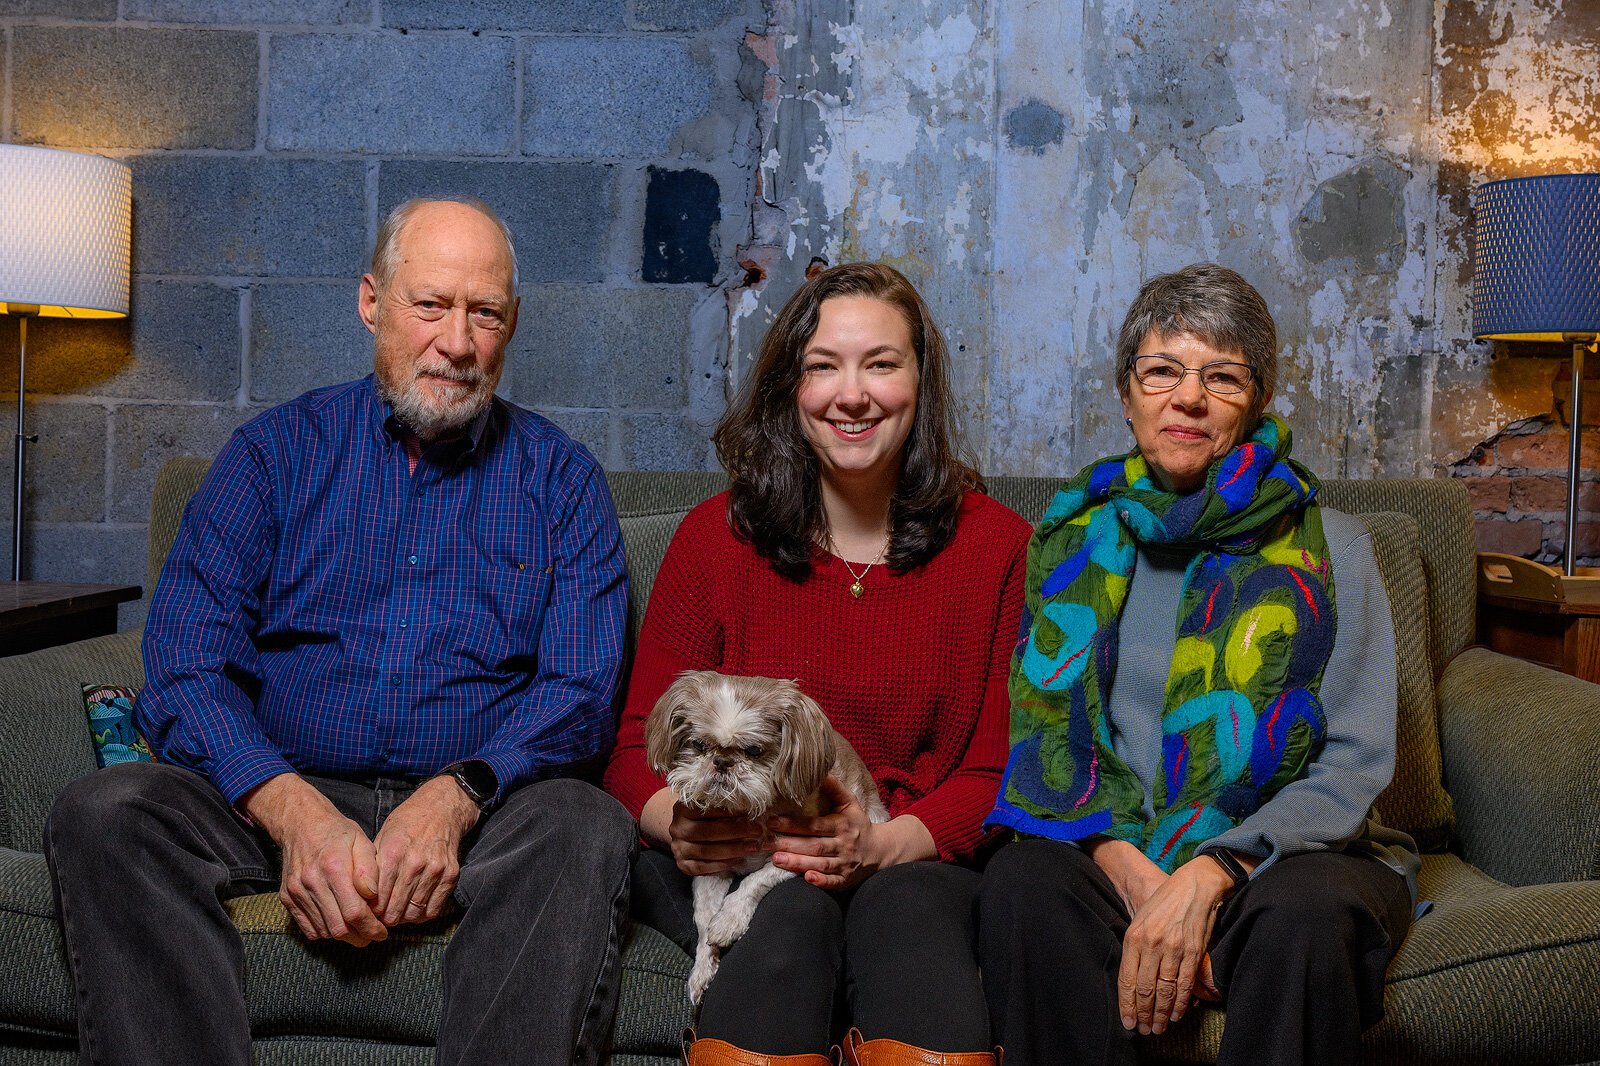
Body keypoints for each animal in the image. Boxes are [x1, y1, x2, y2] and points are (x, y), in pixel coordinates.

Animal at [640, 669, 889, 998]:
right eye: (699, 744)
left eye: (754, 750)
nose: (722, 762)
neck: (746, 811)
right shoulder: (709, 862)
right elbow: (703, 916)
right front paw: (702, 968)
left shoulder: (805, 851)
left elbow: (754, 881)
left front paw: (729, 920)